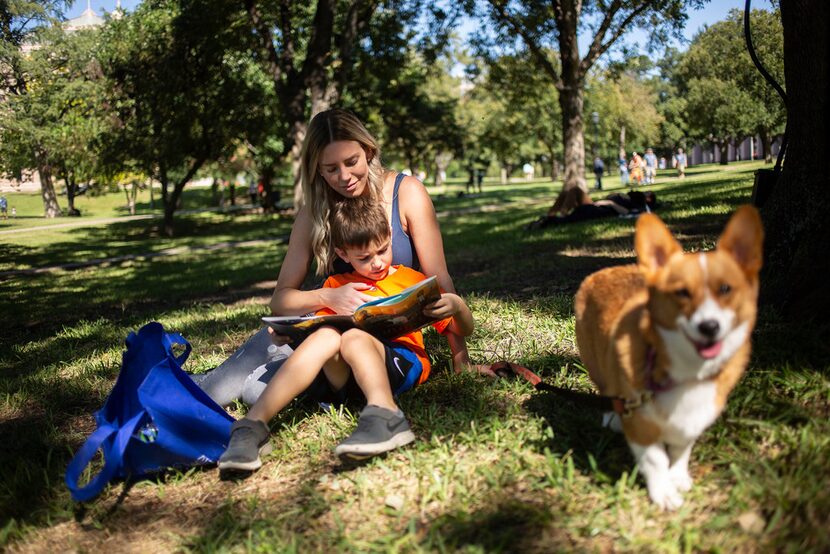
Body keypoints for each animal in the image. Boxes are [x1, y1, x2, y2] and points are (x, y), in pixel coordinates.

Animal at [576, 205, 764, 506]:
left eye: (725, 289)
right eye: (682, 292)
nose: (709, 327)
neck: (688, 371)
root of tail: (601, 271)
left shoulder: (692, 422)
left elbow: (679, 452)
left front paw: (679, 478)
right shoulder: (640, 423)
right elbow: (656, 460)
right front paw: (663, 493)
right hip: (596, 365)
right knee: (605, 387)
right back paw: (612, 417)